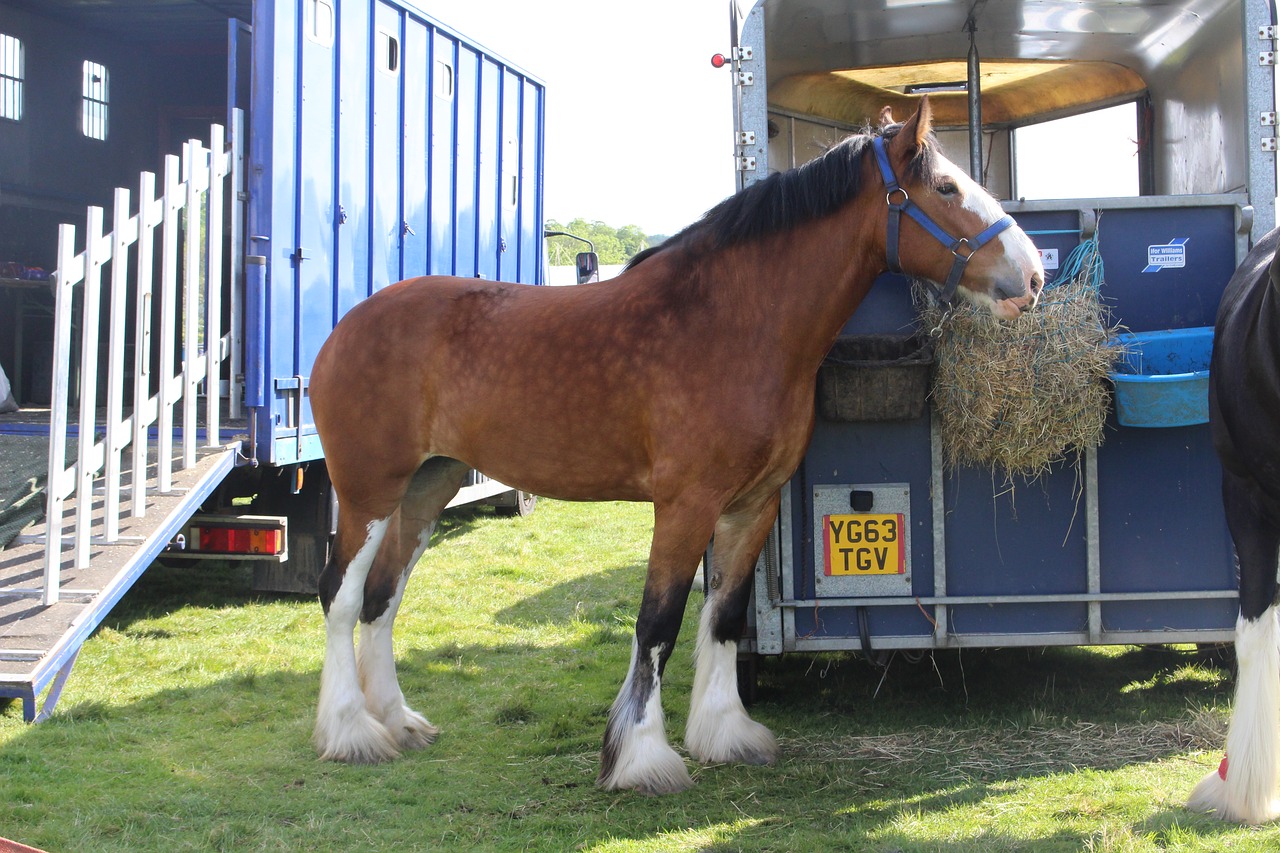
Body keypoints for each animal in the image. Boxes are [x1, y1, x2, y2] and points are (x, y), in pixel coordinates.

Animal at [307, 97, 1039, 788]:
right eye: (944, 187)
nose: (1030, 277)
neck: (730, 321)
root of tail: (343, 329)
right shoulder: (686, 504)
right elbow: (657, 625)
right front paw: (641, 758)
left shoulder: (753, 505)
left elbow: (723, 616)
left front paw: (726, 734)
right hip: (368, 493)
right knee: (340, 596)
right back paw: (352, 732)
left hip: (426, 488)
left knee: (382, 597)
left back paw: (398, 721)